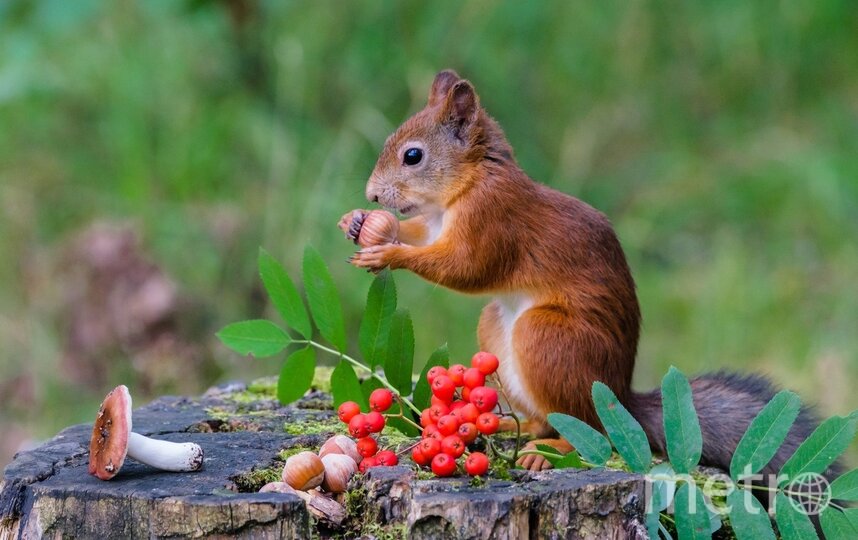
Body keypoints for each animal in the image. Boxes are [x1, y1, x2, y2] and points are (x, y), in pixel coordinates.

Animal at [340, 68, 824, 476]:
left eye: (413, 156)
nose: (371, 193)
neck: (471, 181)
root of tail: (619, 397)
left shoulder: (493, 220)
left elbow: (466, 269)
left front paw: (388, 255)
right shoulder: (435, 223)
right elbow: (420, 234)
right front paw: (359, 222)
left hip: (550, 339)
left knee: (593, 433)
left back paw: (551, 451)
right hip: (499, 331)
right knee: (546, 419)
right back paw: (514, 428)